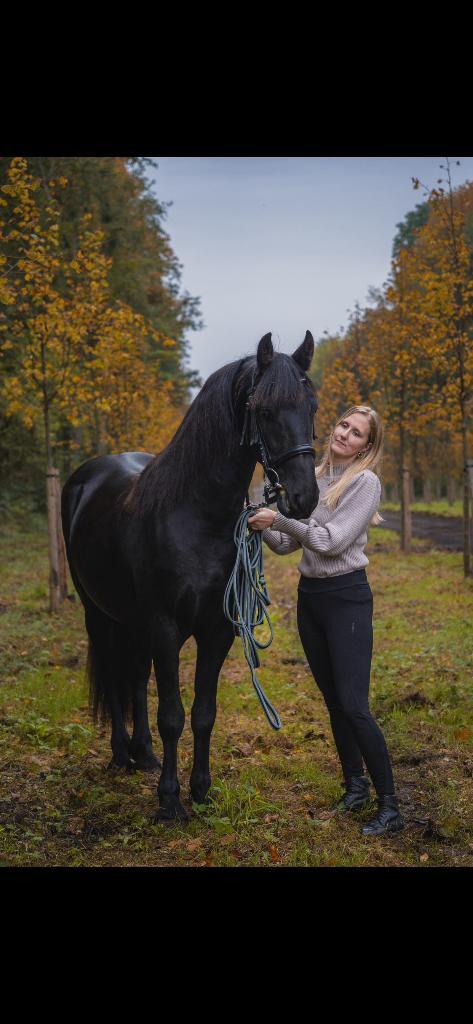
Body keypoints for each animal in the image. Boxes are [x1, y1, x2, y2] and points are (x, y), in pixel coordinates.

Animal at [61, 331, 319, 821]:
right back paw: (121, 754)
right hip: (97, 613)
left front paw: (201, 789)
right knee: (117, 679)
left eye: (312, 406)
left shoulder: (218, 630)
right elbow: (173, 716)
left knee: (134, 678)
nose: (304, 497)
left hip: (132, 621)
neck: (196, 516)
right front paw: (168, 801)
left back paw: (143, 754)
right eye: (265, 410)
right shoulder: (165, 628)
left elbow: (203, 712)